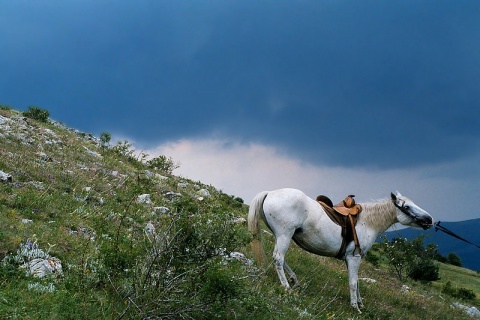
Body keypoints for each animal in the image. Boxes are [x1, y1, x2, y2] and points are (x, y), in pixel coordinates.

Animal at [249, 188, 434, 312]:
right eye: (407, 207)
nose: (429, 219)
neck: (368, 223)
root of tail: (270, 193)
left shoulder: (352, 259)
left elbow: (357, 282)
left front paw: (360, 303)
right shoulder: (354, 258)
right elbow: (352, 282)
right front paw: (355, 307)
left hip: (281, 236)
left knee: (280, 258)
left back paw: (295, 280)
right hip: (284, 235)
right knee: (278, 258)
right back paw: (287, 286)